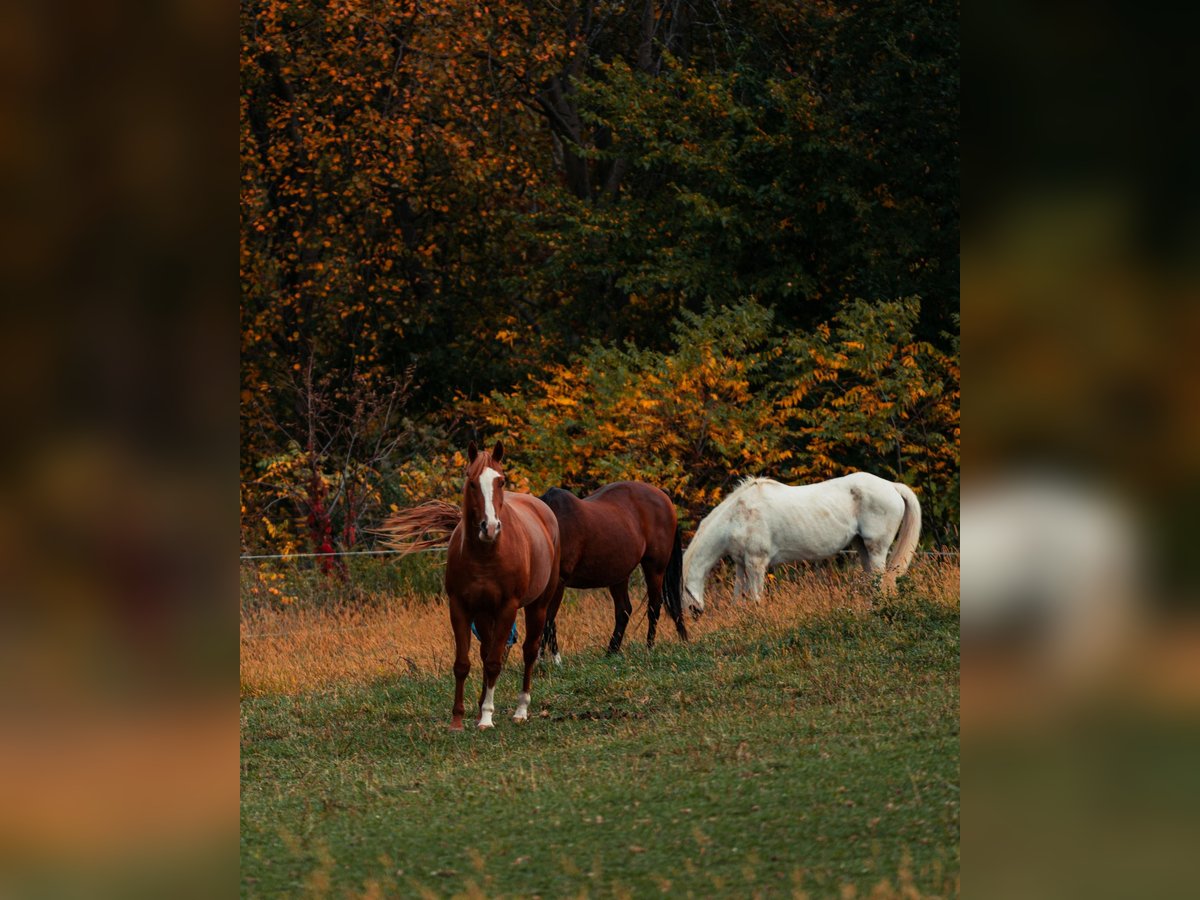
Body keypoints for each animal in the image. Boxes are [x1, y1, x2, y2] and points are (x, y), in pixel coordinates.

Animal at [376, 444, 559, 734]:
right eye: (472, 482)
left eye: (501, 481)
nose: (490, 527)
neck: (486, 553)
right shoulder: (460, 607)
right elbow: (463, 664)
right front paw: (458, 719)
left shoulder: (507, 608)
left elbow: (495, 663)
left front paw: (486, 718)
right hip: (485, 614)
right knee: (486, 653)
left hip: (538, 605)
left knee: (529, 651)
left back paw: (520, 710)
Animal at [540, 482, 691, 657]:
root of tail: (662, 494)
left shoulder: (559, 583)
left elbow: (547, 621)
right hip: (619, 575)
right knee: (623, 610)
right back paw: (611, 652)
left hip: (655, 568)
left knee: (654, 606)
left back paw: (649, 648)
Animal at [681, 472, 921, 614]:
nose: (692, 613)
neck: (737, 516)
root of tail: (892, 486)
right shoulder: (742, 563)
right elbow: (738, 599)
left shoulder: (756, 563)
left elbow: (756, 598)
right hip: (862, 547)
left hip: (877, 548)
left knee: (880, 581)